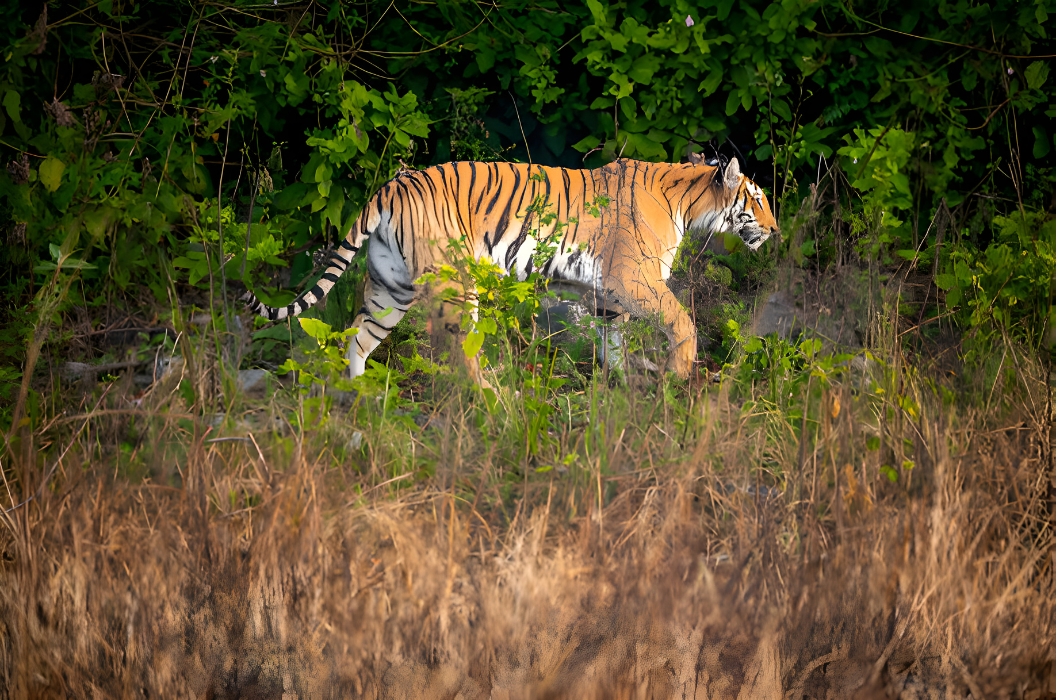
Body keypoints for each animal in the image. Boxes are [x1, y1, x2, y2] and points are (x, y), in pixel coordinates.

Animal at [245, 156, 780, 379]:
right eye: (757, 199)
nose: (776, 231)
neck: (690, 202)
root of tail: (391, 186)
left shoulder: (607, 294)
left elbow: (614, 342)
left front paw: (626, 385)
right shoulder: (634, 280)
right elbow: (682, 321)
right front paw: (679, 374)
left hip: (389, 288)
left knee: (357, 340)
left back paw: (362, 403)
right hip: (455, 284)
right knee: (457, 352)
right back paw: (492, 397)